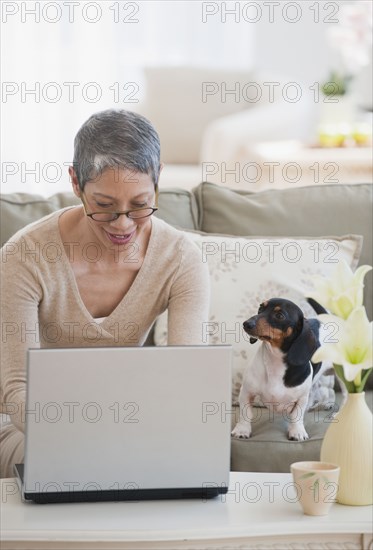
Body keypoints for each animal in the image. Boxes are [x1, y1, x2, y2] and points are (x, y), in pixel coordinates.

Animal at [231, 300, 336, 442]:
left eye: (279, 315)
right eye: (260, 308)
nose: (246, 323)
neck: (275, 361)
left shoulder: (301, 398)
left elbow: (297, 415)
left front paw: (297, 432)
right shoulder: (246, 392)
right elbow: (245, 413)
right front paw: (242, 430)